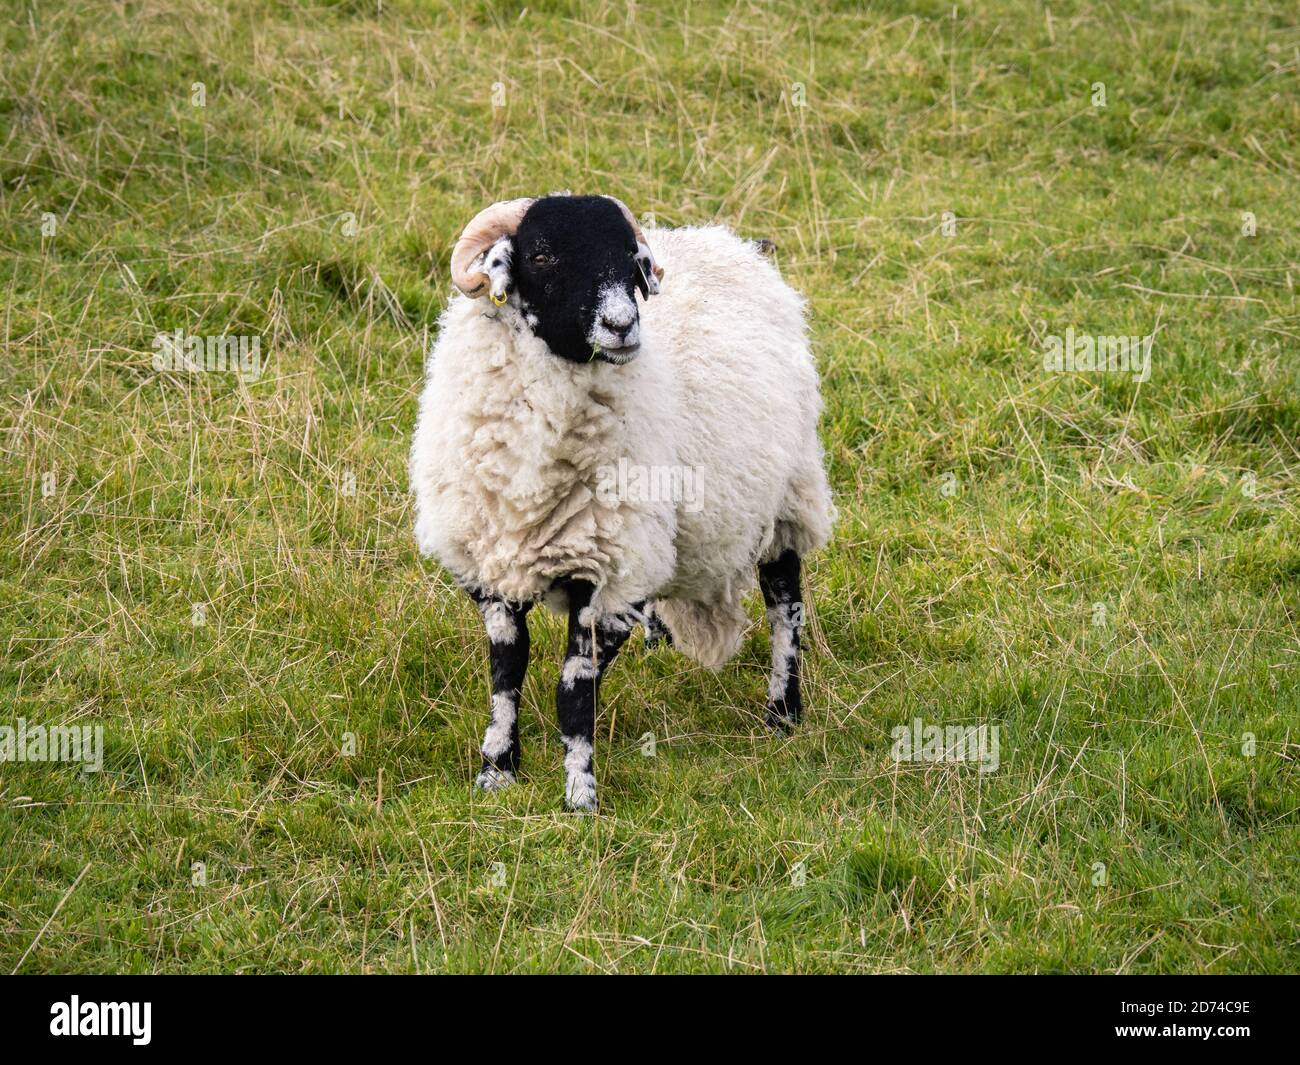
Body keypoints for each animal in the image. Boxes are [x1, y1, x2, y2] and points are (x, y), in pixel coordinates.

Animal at [408, 193, 832, 806]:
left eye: (632, 261)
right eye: (541, 254)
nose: (622, 326)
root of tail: (729, 242)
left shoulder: (605, 572)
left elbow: (572, 689)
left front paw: (579, 795)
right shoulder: (493, 565)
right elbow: (506, 672)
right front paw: (497, 769)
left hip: (785, 502)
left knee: (785, 608)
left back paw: (783, 711)